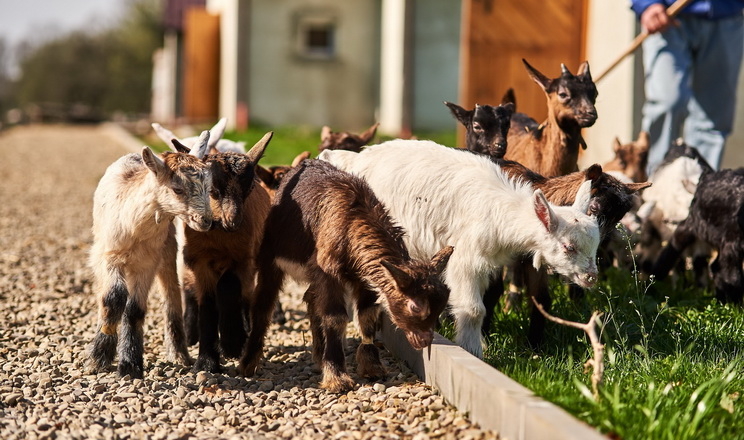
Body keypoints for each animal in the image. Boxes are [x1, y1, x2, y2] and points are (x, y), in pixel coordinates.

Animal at [235, 159, 450, 392]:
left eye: (440, 306)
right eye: (415, 306)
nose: (424, 340)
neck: (352, 220)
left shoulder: (364, 276)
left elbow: (366, 315)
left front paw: (372, 366)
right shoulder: (328, 271)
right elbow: (335, 316)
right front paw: (337, 377)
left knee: (311, 299)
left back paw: (319, 356)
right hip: (270, 256)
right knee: (264, 304)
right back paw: (248, 364)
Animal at [318, 141, 600, 358]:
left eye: (596, 246)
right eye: (568, 246)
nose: (591, 278)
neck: (499, 207)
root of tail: (356, 157)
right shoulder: (466, 258)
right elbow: (474, 309)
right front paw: (473, 350)